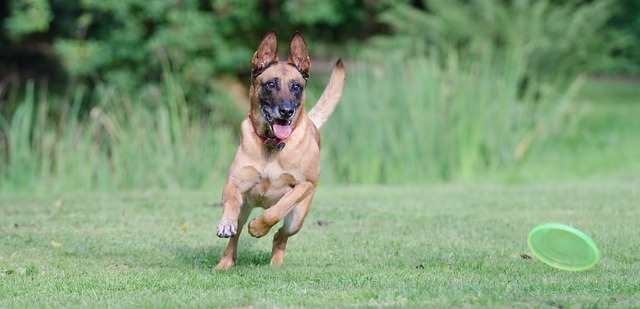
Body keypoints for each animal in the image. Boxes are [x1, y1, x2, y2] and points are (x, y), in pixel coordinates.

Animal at [215, 30, 344, 268]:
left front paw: (258, 228)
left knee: (280, 235)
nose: (286, 111)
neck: (272, 145)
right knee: (236, 237)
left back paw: (275, 262)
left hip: (297, 219)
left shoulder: (304, 186)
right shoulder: (235, 181)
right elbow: (231, 200)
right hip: (246, 208)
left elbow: (278, 209)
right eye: (271, 84)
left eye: (296, 86)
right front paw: (225, 223)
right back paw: (225, 263)